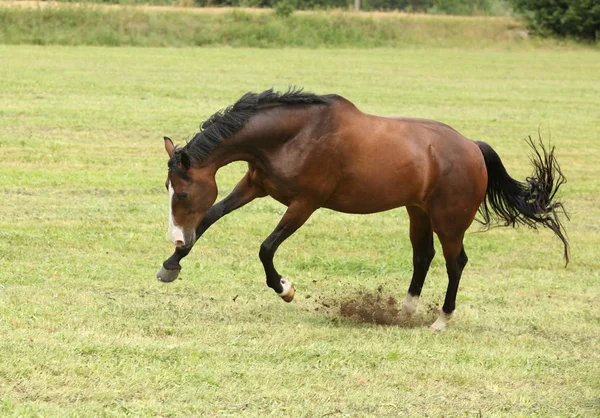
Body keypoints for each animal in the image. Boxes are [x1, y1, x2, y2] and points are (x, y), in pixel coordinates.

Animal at [156, 88, 568, 330]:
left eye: (183, 195)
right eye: (168, 189)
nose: (176, 237)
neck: (294, 134)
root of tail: (472, 147)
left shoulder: (304, 203)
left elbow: (266, 248)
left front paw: (285, 289)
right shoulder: (254, 186)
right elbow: (210, 219)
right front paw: (171, 264)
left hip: (448, 221)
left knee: (456, 262)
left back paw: (442, 319)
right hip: (418, 213)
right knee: (423, 257)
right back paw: (404, 312)